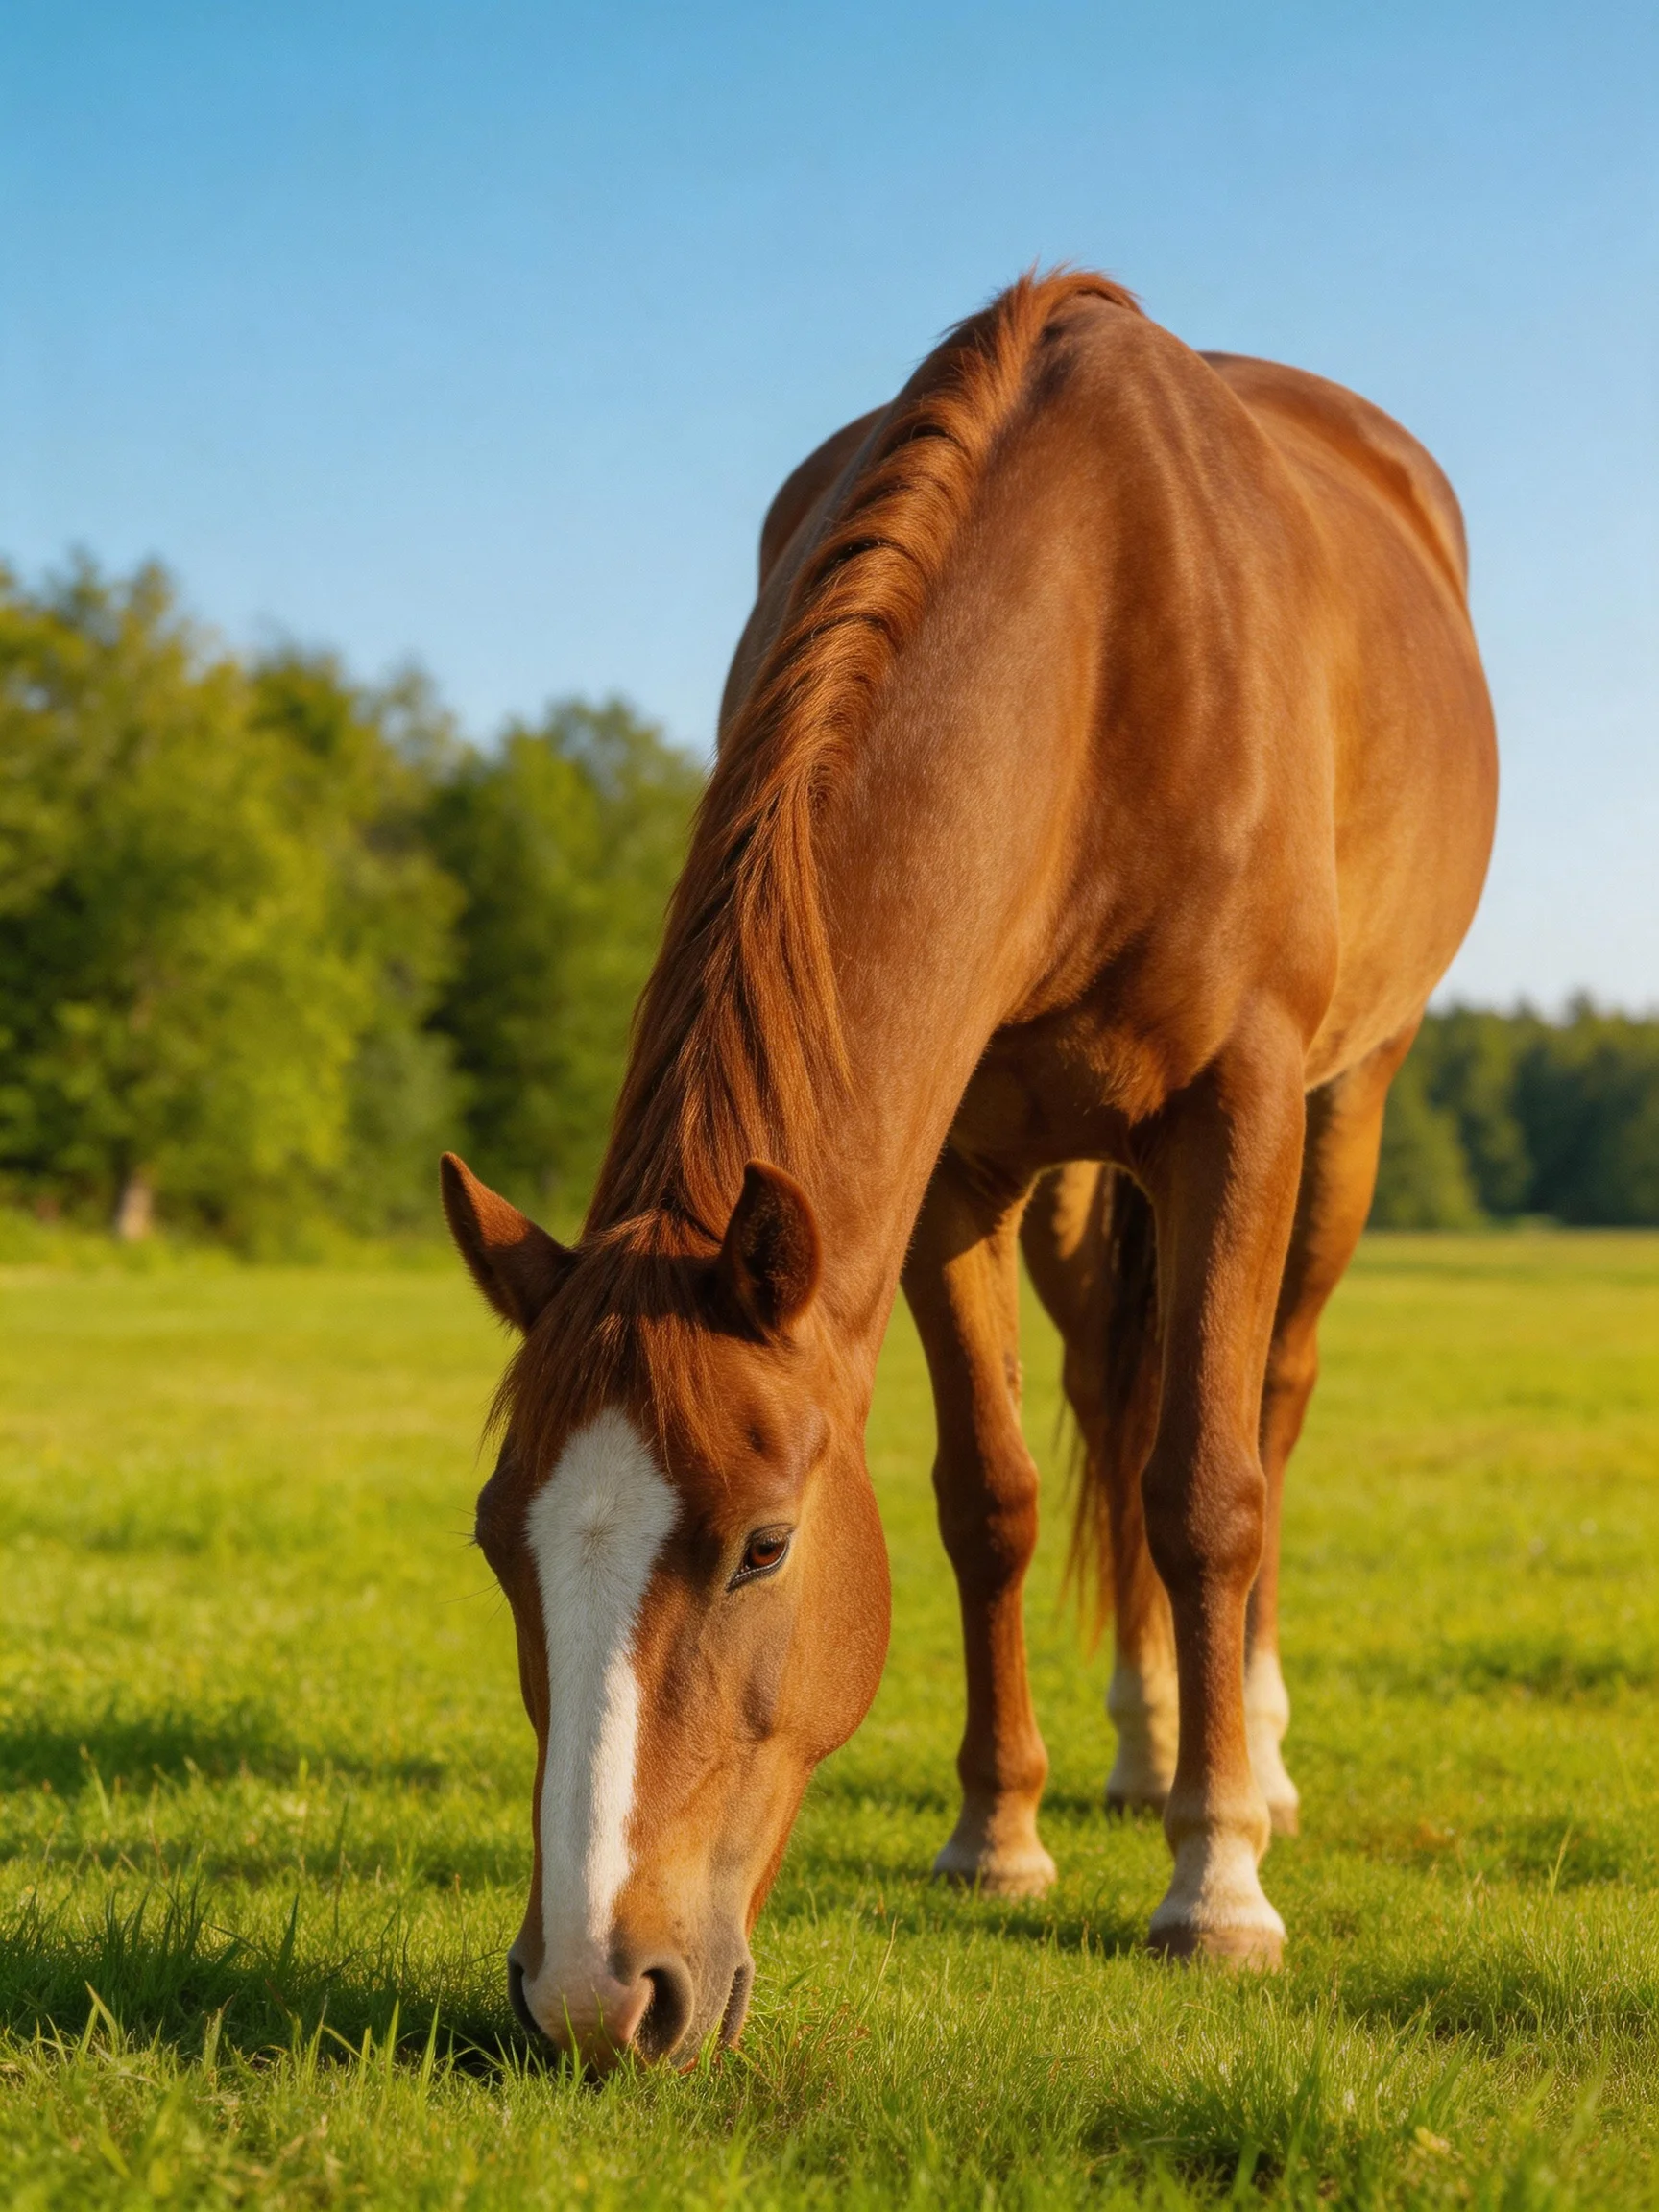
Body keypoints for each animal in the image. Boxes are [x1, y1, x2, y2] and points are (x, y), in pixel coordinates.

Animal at [441, 269, 1496, 2071]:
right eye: (498, 1538)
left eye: (764, 1545)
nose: (592, 1990)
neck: (1106, 635)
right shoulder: (950, 1178)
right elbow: (991, 1498)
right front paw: (998, 1834)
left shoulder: (1240, 1108)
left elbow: (1208, 1488)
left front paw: (1216, 1890)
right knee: (1113, 1400)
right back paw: (1152, 1743)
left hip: (1346, 1112)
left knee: (1264, 1406)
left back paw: (1248, 1753)